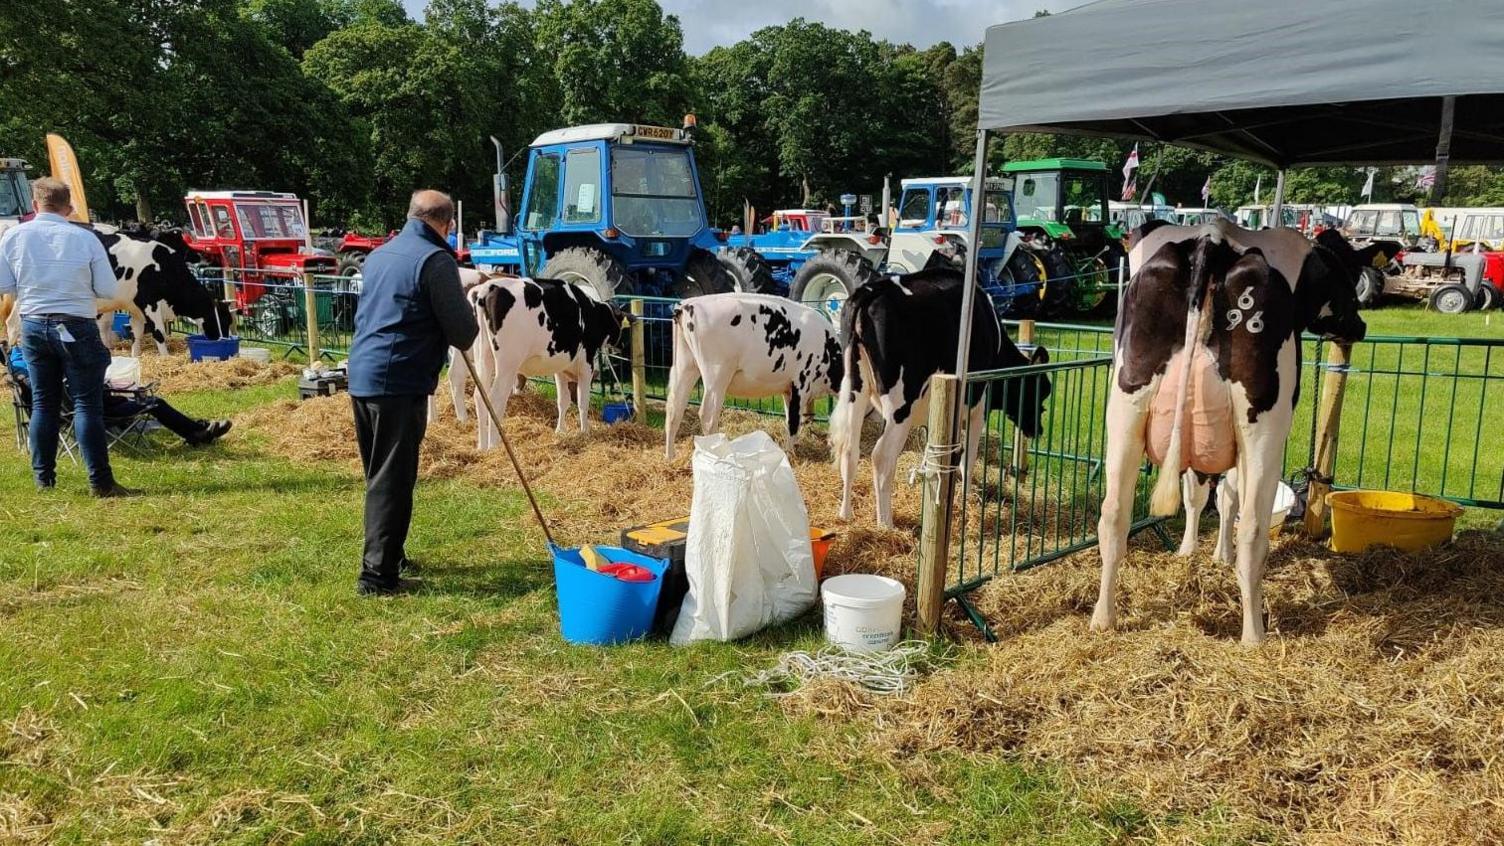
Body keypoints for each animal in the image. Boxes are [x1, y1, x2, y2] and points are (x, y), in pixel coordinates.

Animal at [472, 276, 631, 448]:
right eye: (622, 323)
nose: (624, 346)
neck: (593, 313)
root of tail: (490, 287)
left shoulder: (561, 367)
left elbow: (563, 400)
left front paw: (560, 431)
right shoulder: (586, 365)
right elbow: (583, 401)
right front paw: (585, 432)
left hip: (483, 357)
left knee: (480, 396)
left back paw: (482, 447)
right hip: (507, 364)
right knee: (496, 399)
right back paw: (494, 446)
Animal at [667, 293, 848, 457]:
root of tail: (688, 304)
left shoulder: (787, 390)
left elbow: (790, 417)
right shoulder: (801, 384)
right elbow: (794, 421)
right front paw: (789, 454)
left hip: (685, 366)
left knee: (674, 409)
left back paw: (670, 457)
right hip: (717, 375)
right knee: (707, 416)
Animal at [830, 266, 1052, 523]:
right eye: (1041, 392)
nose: (1038, 430)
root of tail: (870, 291)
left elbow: (935, 458)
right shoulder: (977, 408)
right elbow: (967, 459)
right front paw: (966, 502)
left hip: (855, 389)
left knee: (849, 449)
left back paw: (845, 515)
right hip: (900, 405)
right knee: (882, 456)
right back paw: (885, 523)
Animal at [1094, 221, 1395, 641]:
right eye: (1351, 273)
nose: (1359, 326)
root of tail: (1212, 238)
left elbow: (1199, 494)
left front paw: (1192, 552)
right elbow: (1230, 496)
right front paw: (1222, 555)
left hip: (1125, 407)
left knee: (1113, 515)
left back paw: (1102, 620)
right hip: (1263, 426)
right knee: (1253, 527)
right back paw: (1254, 636)